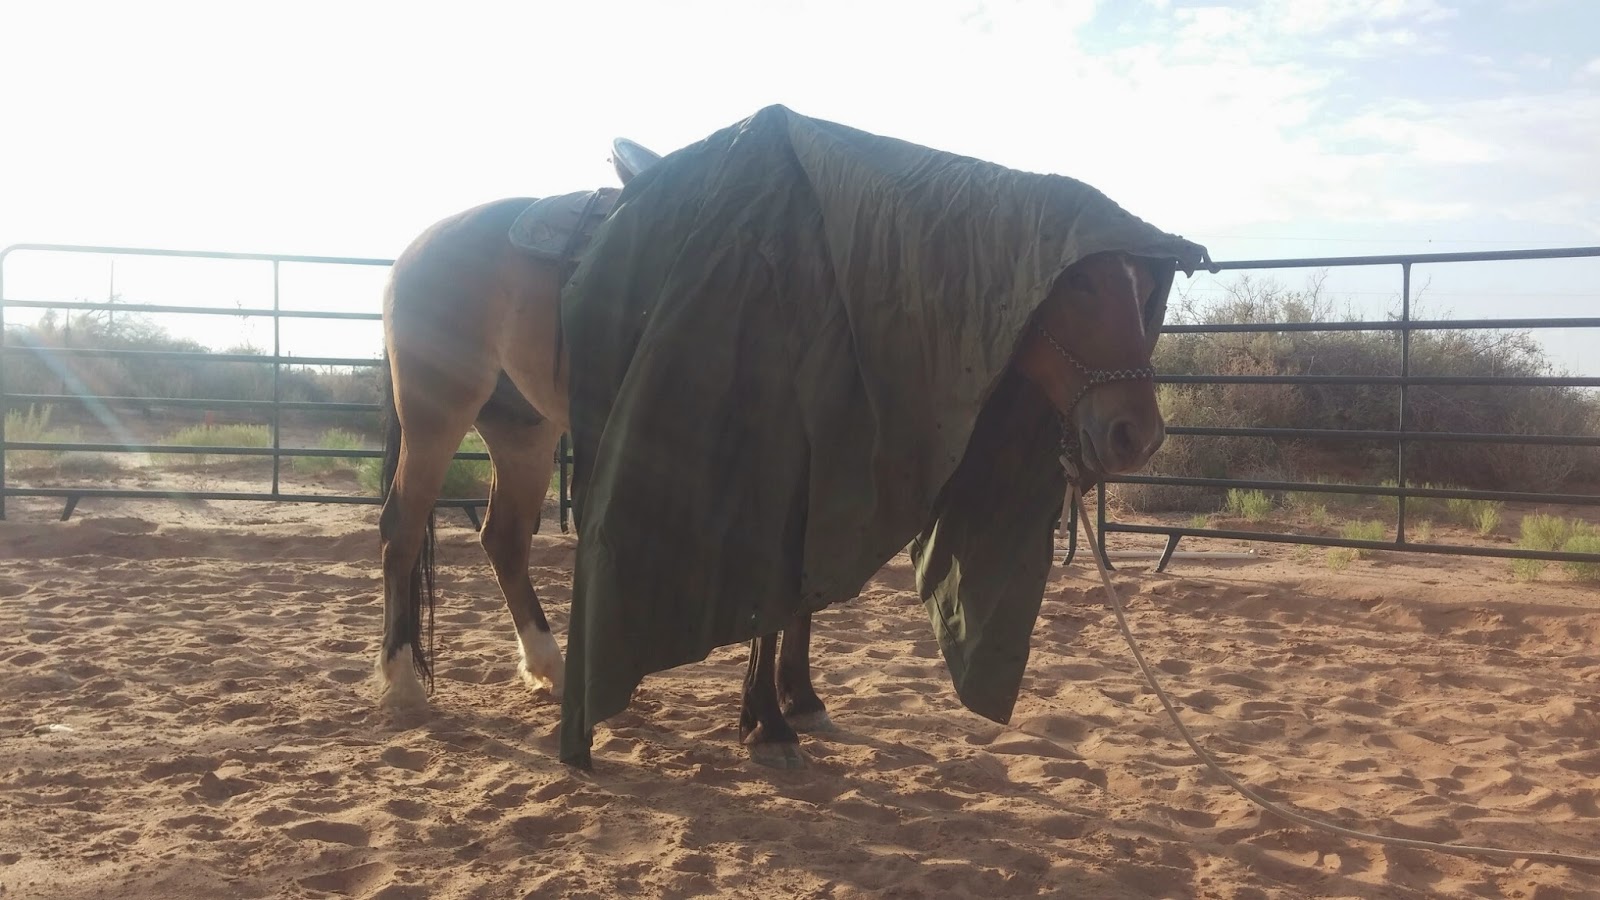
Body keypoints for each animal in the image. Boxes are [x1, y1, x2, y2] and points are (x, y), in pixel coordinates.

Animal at [371, 140, 1170, 769]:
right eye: (1082, 281)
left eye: (1143, 291)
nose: (1137, 435)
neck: (846, 297)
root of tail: (416, 248)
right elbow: (772, 597)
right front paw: (769, 724)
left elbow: (800, 596)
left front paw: (799, 701)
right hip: (439, 412)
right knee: (402, 531)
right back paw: (404, 684)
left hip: (525, 431)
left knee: (502, 538)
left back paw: (551, 670)